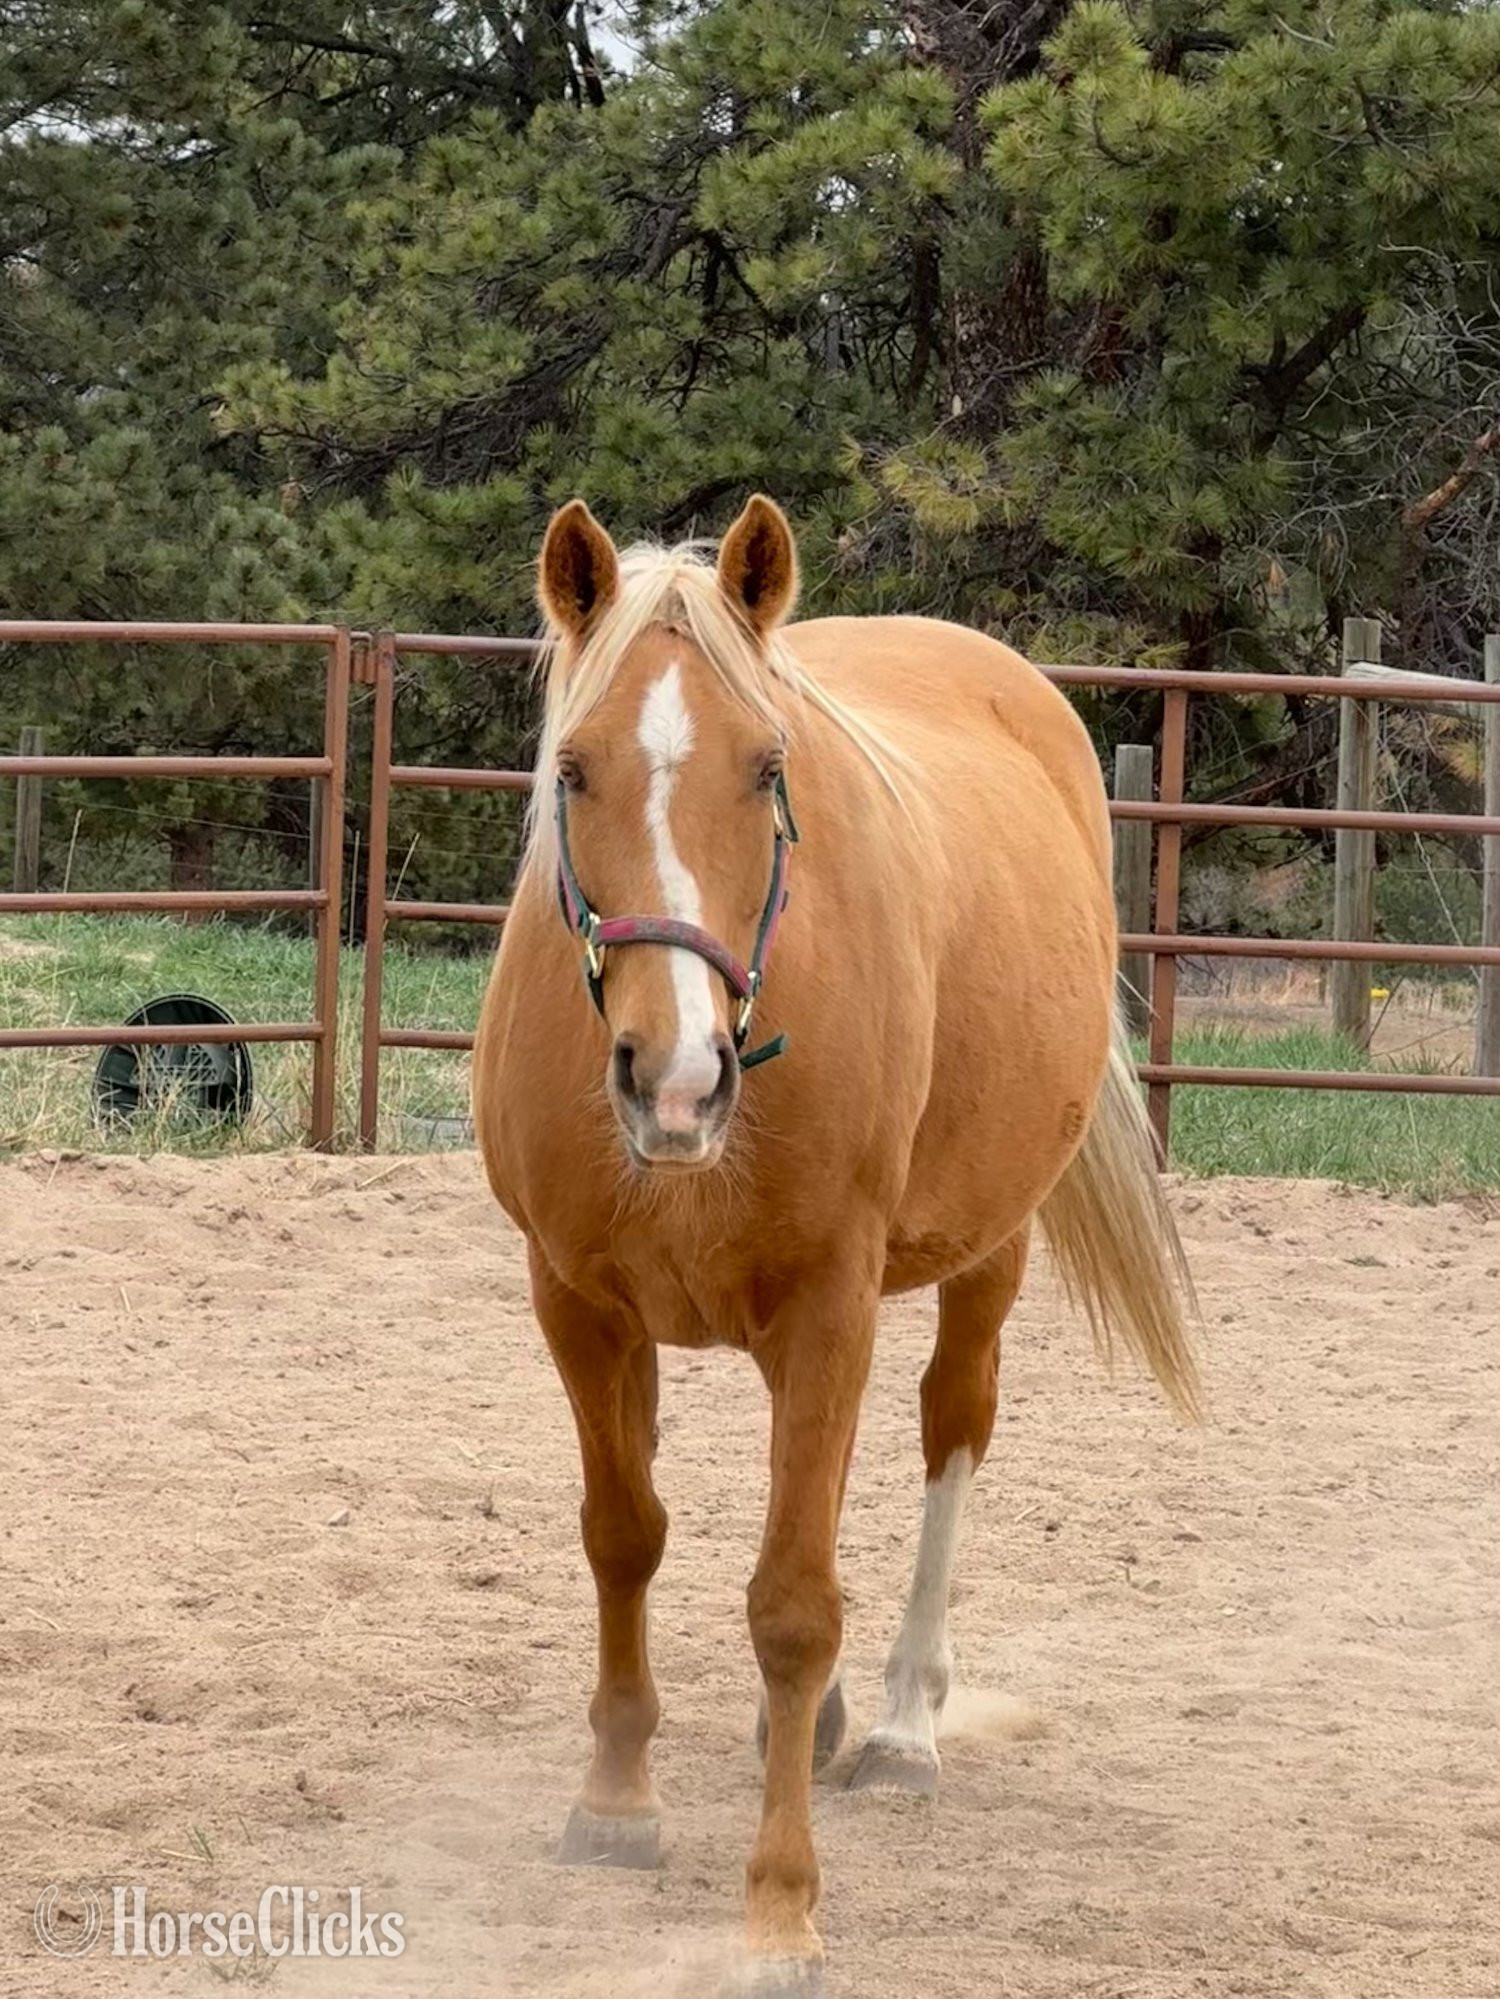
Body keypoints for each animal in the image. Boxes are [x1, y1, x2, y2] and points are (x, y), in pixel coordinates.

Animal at [472, 495, 1200, 1996]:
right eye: (572, 768)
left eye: (768, 769)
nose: (675, 1076)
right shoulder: (578, 1301)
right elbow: (623, 1535)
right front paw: (615, 1802)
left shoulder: (828, 1302)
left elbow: (796, 1605)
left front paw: (778, 1907)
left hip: (982, 1256)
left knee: (948, 1432)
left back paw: (905, 1722)